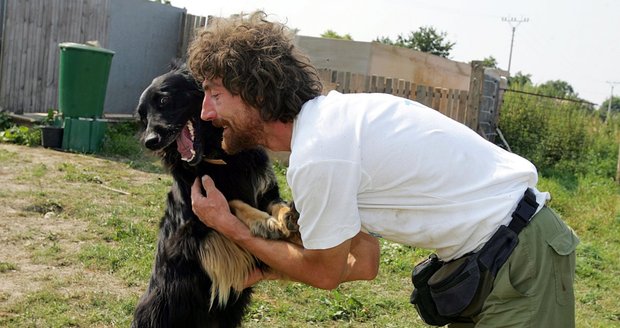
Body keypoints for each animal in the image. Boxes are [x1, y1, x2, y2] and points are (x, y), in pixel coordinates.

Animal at [133, 62, 300, 326]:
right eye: (142, 116)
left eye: (164, 100)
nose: (150, 141)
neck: (218, 157)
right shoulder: (191, 224)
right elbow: (232, 202)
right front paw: (263, 222)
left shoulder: (266, 190)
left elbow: (276, 202)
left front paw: (286, 217)